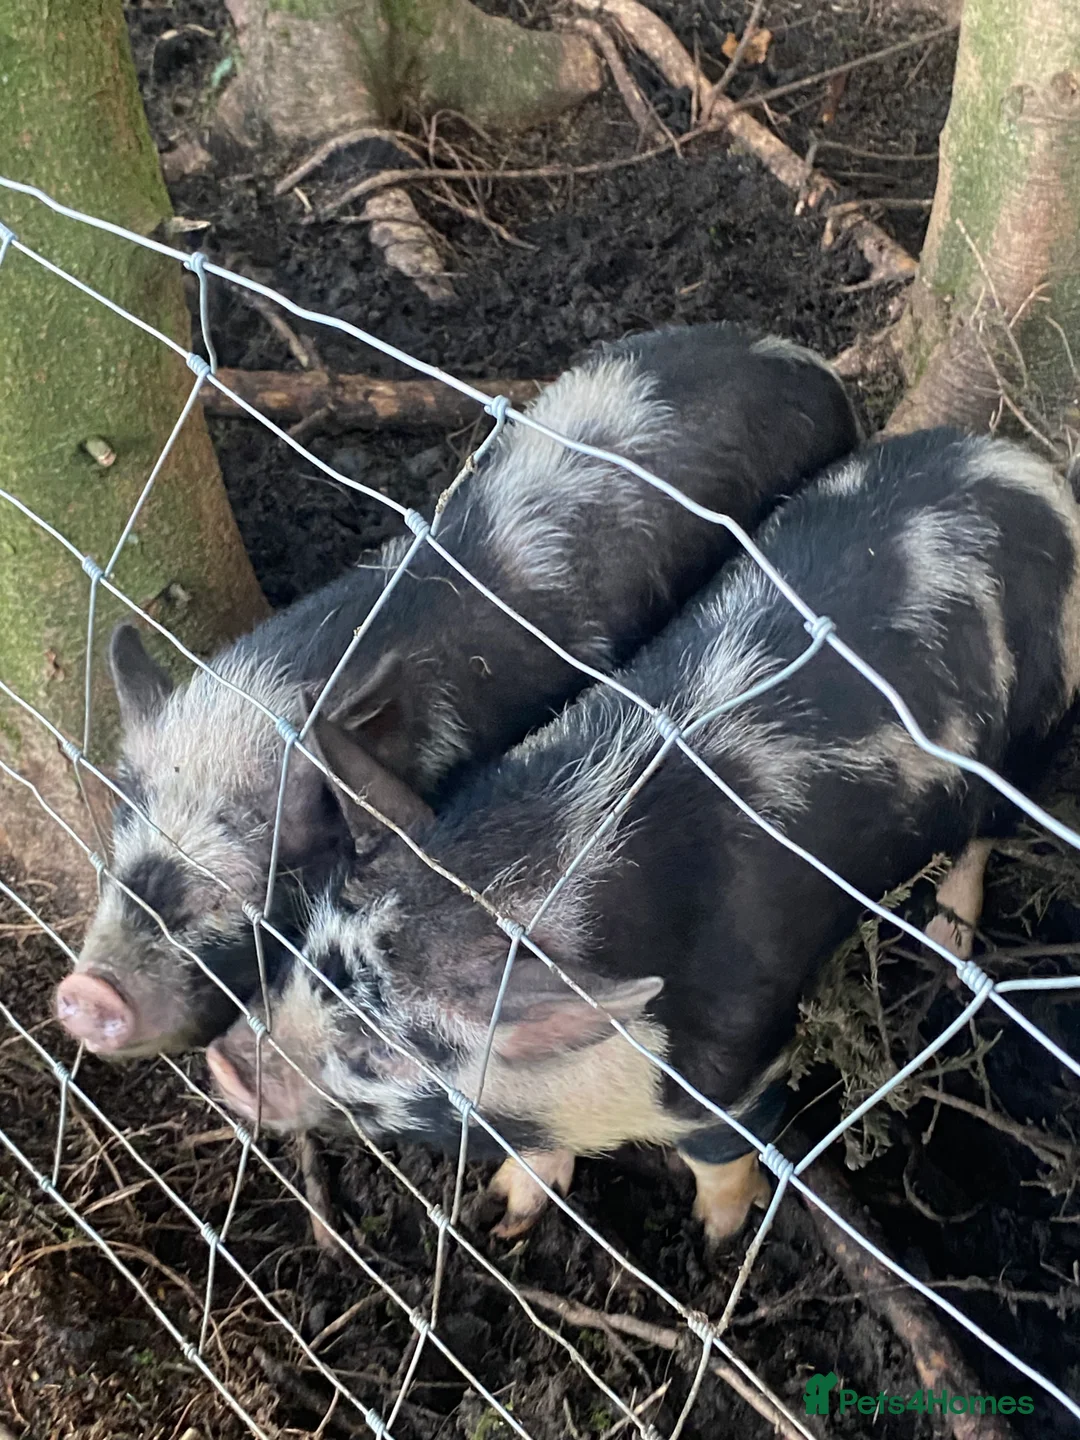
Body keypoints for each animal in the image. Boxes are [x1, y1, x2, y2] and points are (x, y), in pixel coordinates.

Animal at [206, 427, 1080, 1242]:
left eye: (376, 1053)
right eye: (298, 961)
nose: (224, 1063)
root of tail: (1020, 465)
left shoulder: (737, 1061)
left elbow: (720, 1151)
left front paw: (717, 1235)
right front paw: (507, 1216)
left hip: (1034, 733)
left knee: (983, 836)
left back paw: (948, 934)